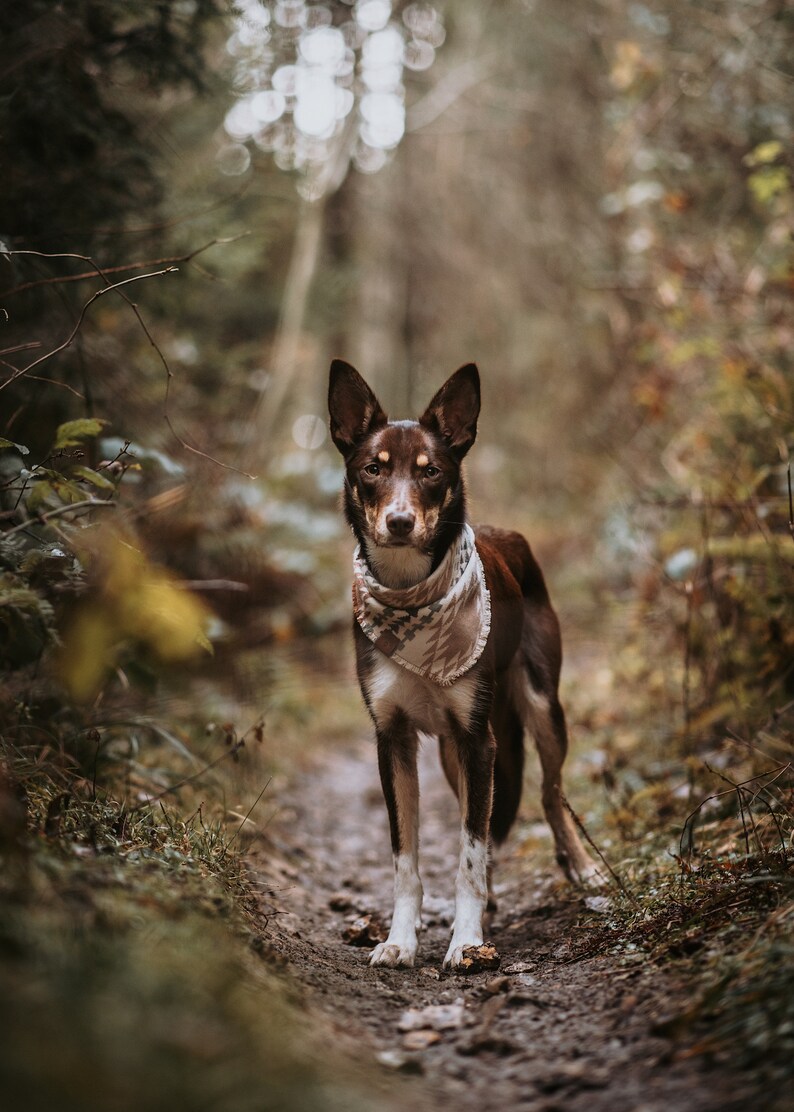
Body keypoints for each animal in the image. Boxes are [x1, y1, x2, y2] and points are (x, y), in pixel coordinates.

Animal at [326, 360, 596, 969]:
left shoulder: (479, 741)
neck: (409, 595)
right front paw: (400, 940)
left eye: (430, 472)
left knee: (549, 792)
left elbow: (470, 854)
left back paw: (585, 868)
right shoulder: (394, 739)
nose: (400, 522)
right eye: (373, 469)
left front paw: (467, 940)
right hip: (452, 753)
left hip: (539, 708)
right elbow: (406, 859)